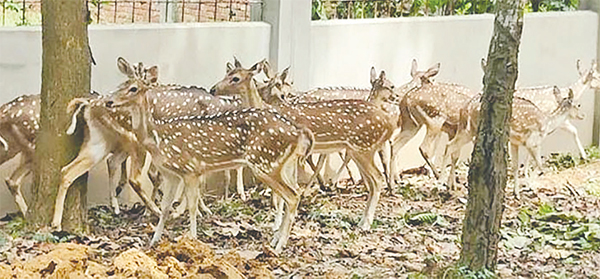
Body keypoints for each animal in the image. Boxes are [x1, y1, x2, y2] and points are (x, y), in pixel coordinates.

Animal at [440, 87, 580, 197]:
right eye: (578, 105)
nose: (582, 115)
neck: (548, 124)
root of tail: (464, 108)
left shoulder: (515, 142)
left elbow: (516, 166)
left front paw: (516, 192)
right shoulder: (533, 141)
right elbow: (539, 165)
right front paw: (530, 187)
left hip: (466, 129)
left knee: (450, 147)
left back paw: (449, 186)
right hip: (474, 129)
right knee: (451, 148)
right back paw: (441, 183)